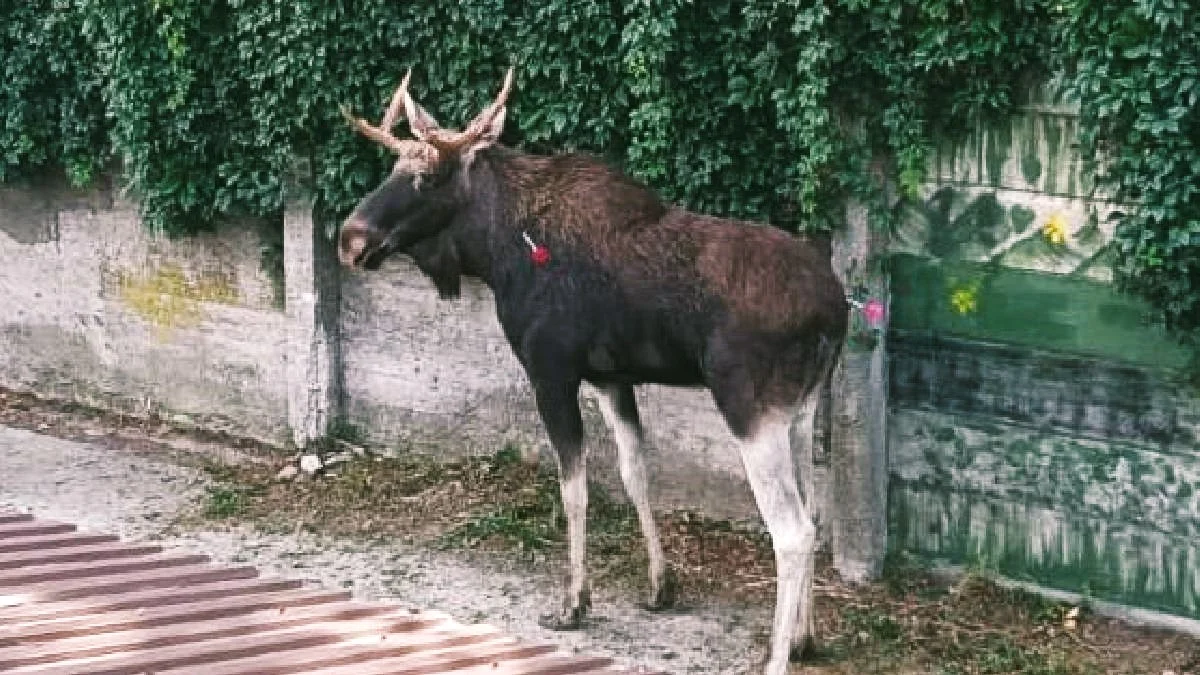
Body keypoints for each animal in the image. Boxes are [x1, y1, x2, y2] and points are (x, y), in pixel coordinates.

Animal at [336, 66, 844, 667]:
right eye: (393, 169)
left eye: (427, 177)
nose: (350, 238)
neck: (498, 253)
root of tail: (835, 310)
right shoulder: (610, 378)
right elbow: (634, 473)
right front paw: (659, 586)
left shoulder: (550, 370)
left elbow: (574, 487)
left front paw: (574, 603)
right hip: (802, 410)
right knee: (815, 514)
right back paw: (806, 637)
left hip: (750, 406)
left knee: (792, 531)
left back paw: (776, 656)